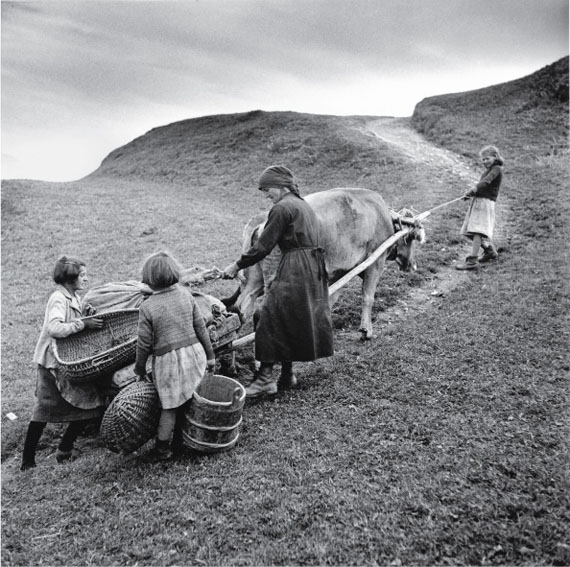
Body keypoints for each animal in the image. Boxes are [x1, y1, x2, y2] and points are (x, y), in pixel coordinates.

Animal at [224, 189, 424, 342]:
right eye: (412, 237)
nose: (412, 266)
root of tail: (262, 221)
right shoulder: (375, 263)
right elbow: (368, 297)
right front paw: (366, 331)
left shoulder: (338, 272)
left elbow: (328, 301)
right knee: (260, 314)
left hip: (255, 278)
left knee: (241, 309)